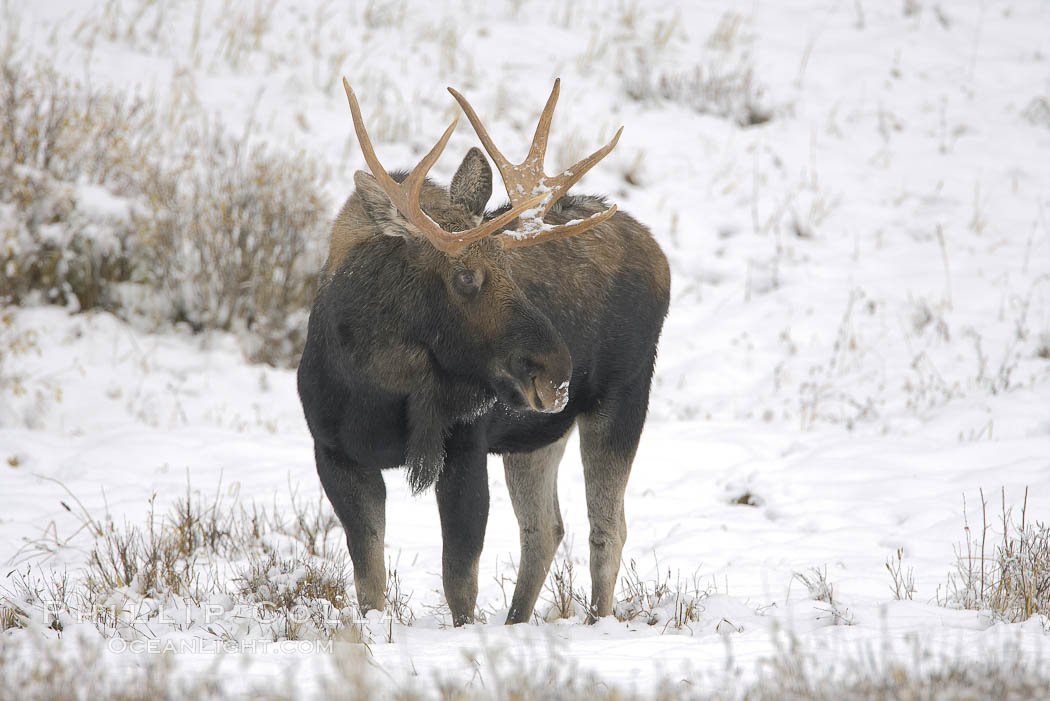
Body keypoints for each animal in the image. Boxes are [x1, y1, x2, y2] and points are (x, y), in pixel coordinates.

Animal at [296, 78, 667, 625]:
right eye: (466, 277)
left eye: (513, 269)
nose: (557, 369)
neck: (379, 386)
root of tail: (658, 253)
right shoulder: (335, 454)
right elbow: (369, 584)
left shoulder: (465, 446)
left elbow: (459, 582)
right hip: (535, 434)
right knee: (545, 530)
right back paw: (516, 622)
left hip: (622, 398)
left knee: (606, 528)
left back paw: (597, 622)